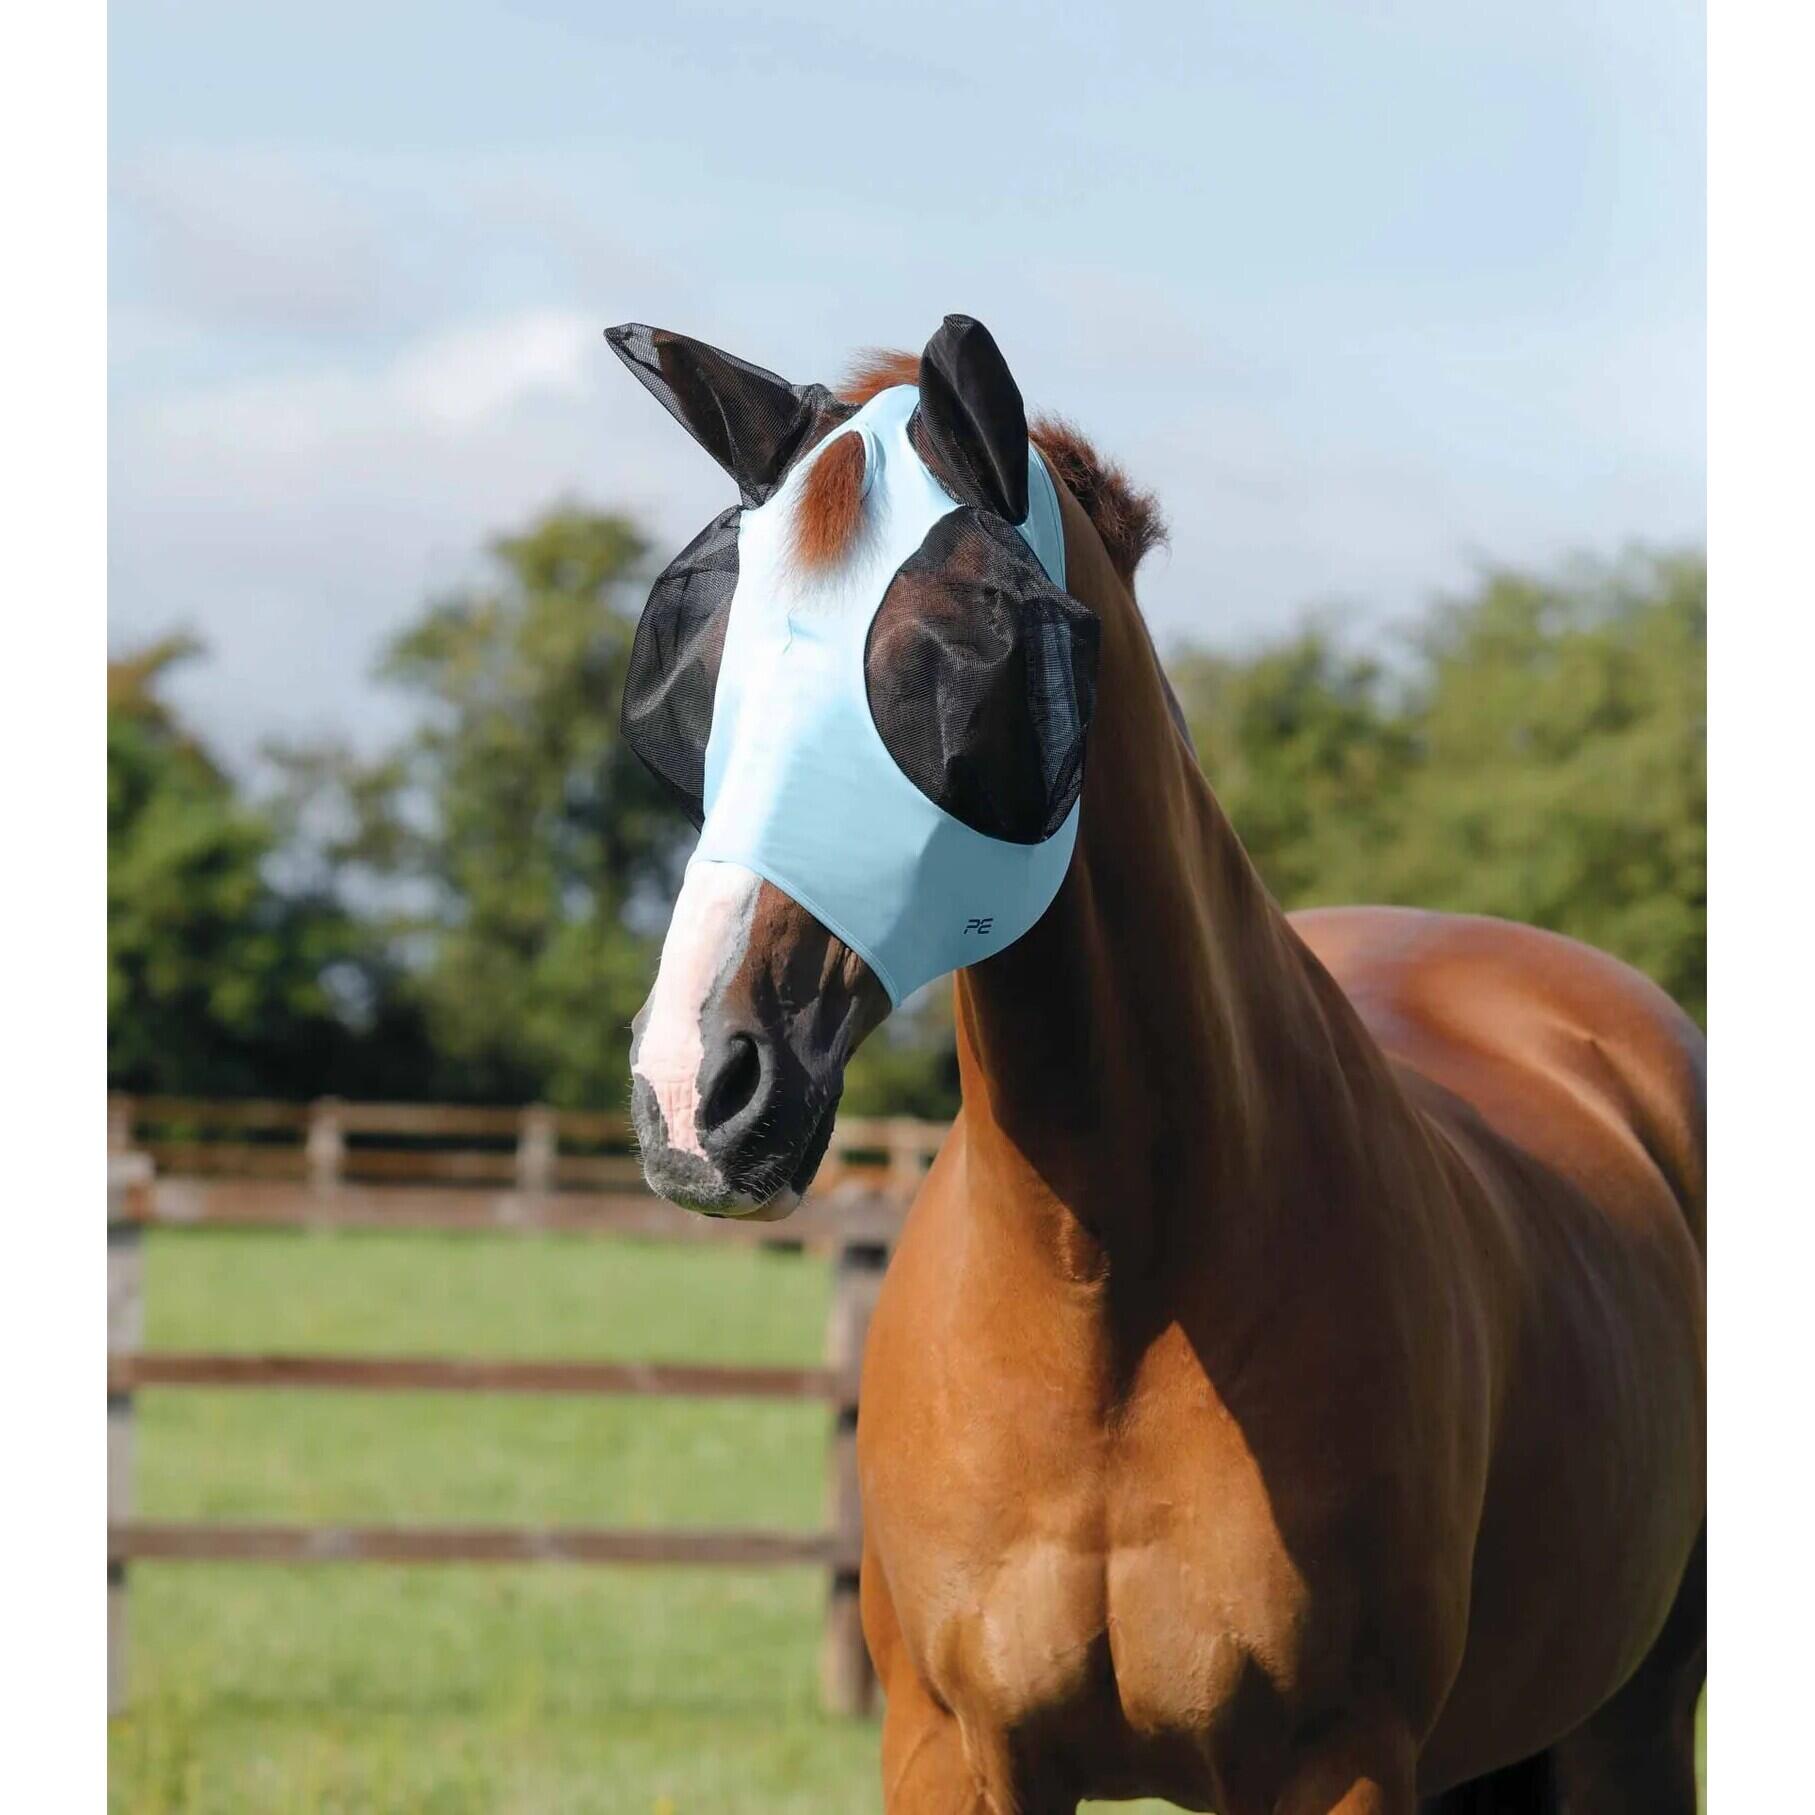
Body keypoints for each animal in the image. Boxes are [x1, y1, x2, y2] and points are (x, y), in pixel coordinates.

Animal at [609, 316, 1706, 1813]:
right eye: (690, 670)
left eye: (954, 656)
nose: (695, 1091)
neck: (1104, 1301)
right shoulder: (951, 1750)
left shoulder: (1338, 1762)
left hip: (1629, 1727)